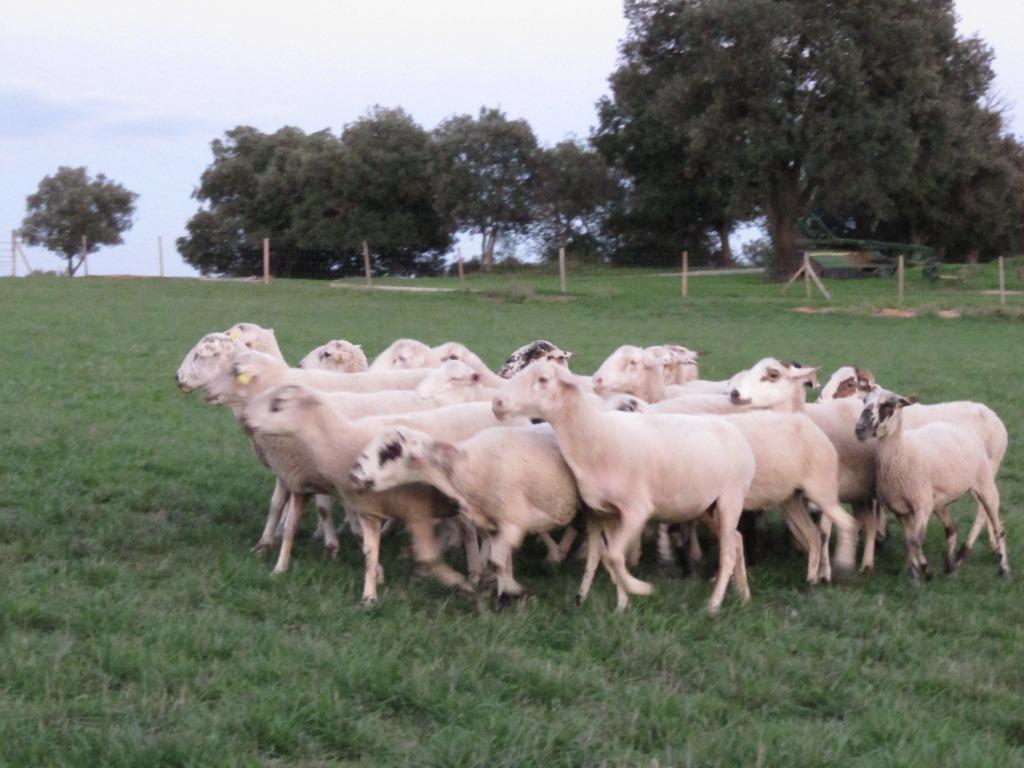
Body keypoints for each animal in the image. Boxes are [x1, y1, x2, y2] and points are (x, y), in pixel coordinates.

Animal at [491, 360, 757, 614]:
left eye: (543, 379)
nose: (497, 402)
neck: (595, 436)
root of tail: (738, 435)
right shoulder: (606, 513)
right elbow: (610, 558)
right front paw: (621, 606)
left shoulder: (636, 510)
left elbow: (615, 556)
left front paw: (640, 588)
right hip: (706, 506)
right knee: (736, 539)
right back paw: (744, 596)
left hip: (731, 497)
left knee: (728, 551)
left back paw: (714, 604)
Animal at [856, 387, 1007, 581]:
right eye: (864, 400)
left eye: (887, 405)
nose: (860, 429)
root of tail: (991, 414)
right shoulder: (899, 503)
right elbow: (909, 538)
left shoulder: (920, 501)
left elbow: (914, 539)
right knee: (957, 526)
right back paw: (960, 560)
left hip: (987, 474)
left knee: (987, 514)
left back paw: (978, 558)